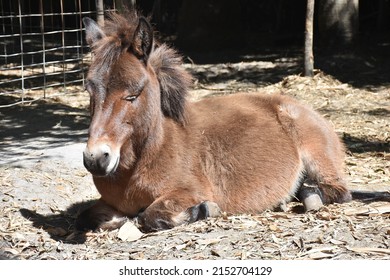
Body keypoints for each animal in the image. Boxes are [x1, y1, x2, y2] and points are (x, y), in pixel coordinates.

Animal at [77, 10, 386, 232]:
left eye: (133, 94)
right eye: (90, 90)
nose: (96, 159)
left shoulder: (189, 190)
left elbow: (151, 216)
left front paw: (203, 210)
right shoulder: (107, 202)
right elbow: (91, 216)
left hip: (318, 157)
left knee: (338, 191)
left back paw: (309, 197)